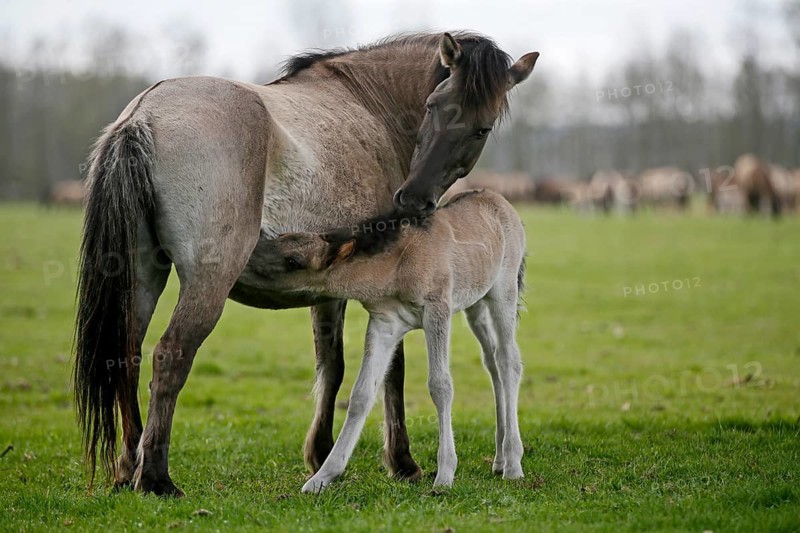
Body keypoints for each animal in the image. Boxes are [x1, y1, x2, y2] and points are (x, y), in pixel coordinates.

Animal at [246, 189, 526, 492]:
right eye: (281, 239)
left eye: (293, 261)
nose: (250, 256)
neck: (397, 268)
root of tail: (499, 200)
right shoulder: (385, 324)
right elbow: (361, 395)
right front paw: (322, 477)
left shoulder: (437, 311)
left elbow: (440, 385)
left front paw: (444, 475)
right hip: (475, 304)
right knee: (492, 361)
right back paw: (499, 460)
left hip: (502, 292)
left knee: (508, 360)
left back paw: (513, 463)